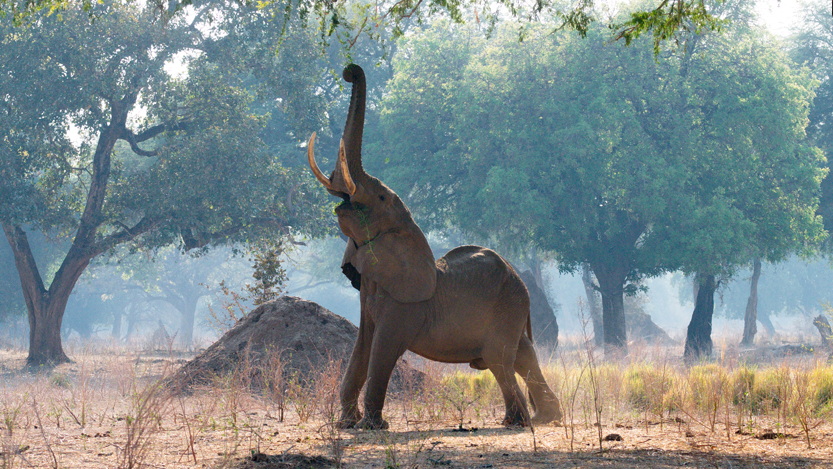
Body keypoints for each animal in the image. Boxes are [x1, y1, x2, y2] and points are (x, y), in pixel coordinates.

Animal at [302, 64, 564, 430]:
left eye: (380, 197)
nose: (349, 71)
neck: (407, 232)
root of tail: (521, 281)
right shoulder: (371, 294)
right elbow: (361, 348)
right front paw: (347, 425)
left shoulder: (404, 306)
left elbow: (382, 350)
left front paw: (373, 427)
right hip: (513, 308)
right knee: (522, 354)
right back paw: (541, 417)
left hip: (508, 307)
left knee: (500, 358)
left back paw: (520, 421)